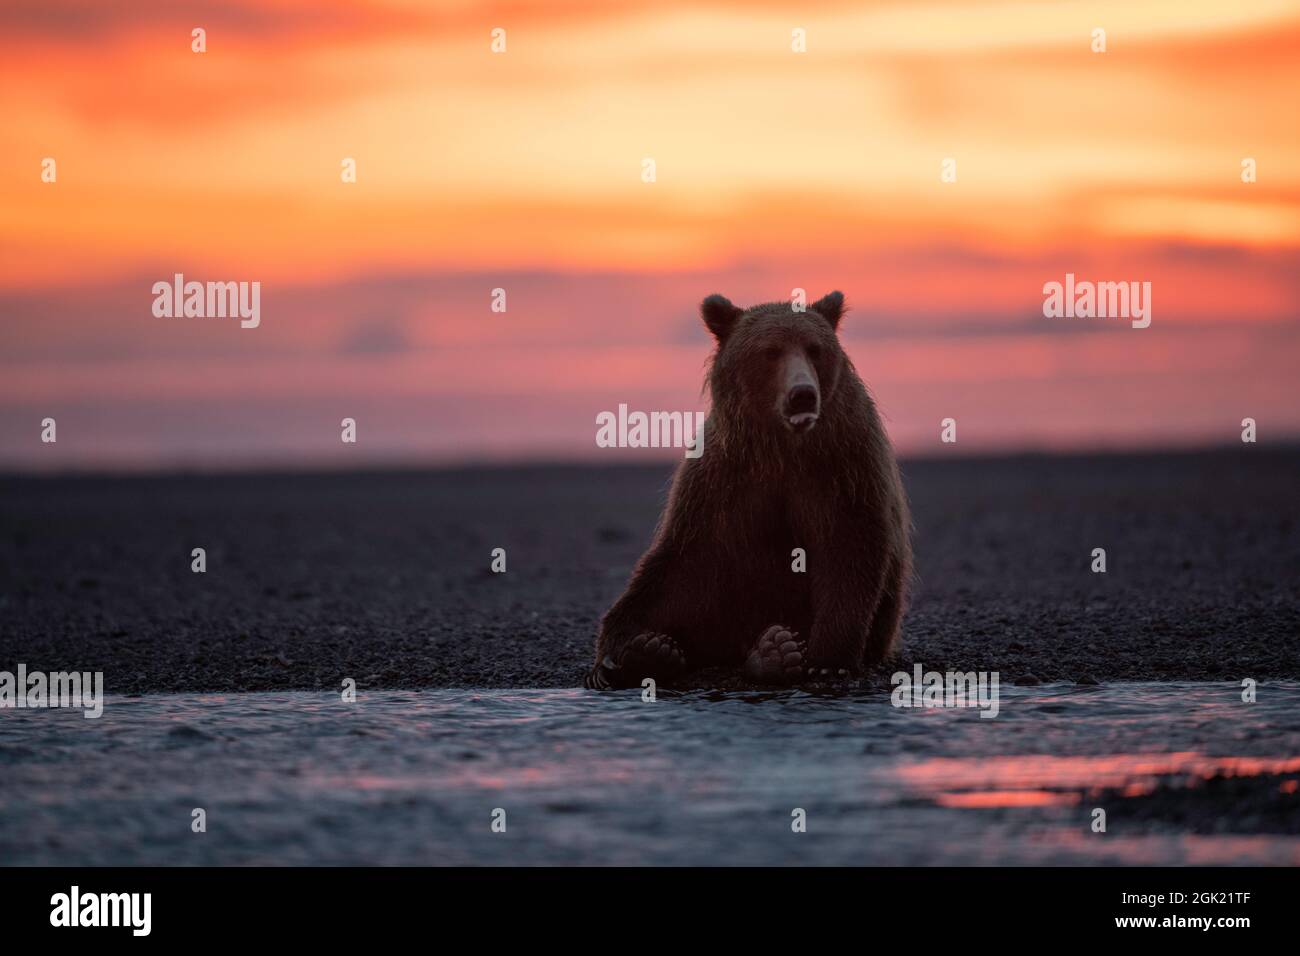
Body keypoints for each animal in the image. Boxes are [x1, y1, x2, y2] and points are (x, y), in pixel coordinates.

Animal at [585, 291, 912, 689]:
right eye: (770, 351)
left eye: (815, 349)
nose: (802, 394)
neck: (783, 446)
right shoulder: (720, 480)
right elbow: (680, 561)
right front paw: (620, 652)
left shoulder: (845, 466)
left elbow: (849, 547)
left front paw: (829, 660)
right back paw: (650, 652)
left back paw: (774, 652)